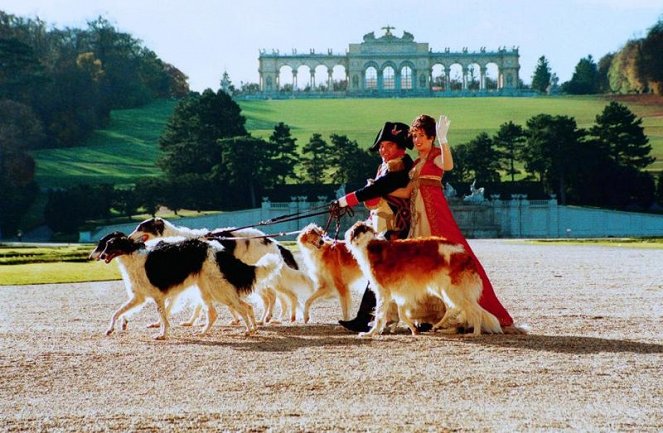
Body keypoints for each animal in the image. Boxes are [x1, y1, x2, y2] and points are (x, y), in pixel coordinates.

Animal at [91, 231, 280, 340]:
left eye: (110, 245)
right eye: (105, 245)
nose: (100, 256)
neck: (133, 255)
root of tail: (219, 250)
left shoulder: (157, 296)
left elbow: (163, 318)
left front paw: (162, 335)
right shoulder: (139, 297)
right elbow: (117, 313)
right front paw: (110, 330)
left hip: (219, 289)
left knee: (243, 307)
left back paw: (249, 330)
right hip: (208, 290)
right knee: (222, 312)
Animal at [130, 218, 316, 322]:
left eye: (141, 227)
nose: (129, 238)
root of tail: (273, 242)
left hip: (261, 276)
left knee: (282, 296)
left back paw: (282, 317)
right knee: (273, 297)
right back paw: (267, 318)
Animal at [344, 219, 500, 338]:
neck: (368, 244)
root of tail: (465, 254)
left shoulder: (383, 291)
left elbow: (380, 315)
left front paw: (370, 333)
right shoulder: (402, 292)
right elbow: (401, 313)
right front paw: (413, 329)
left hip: (454, 290)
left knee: (475, 311)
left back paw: (475, 333)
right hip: (441, 288)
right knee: (452, 307)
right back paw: (437, 326)